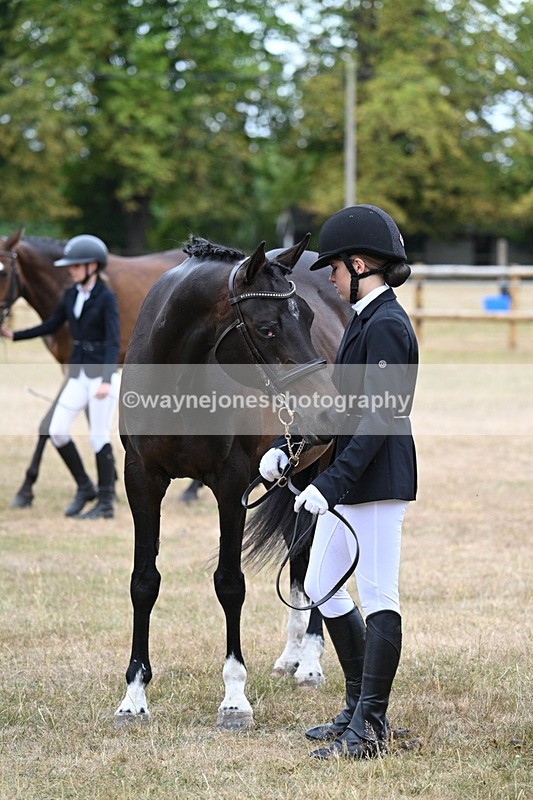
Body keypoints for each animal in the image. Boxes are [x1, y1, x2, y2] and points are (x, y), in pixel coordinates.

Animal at [115, 235, 349, 729]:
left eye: (308, 318)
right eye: (266, 328)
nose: (329, 414)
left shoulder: (230, 486)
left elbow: (229, 584)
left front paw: (234, 698)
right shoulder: (141, 479)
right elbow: (144, 582)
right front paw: (134, 695)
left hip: (319, 471)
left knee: (313, 557)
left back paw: (310, 661)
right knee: (298, 556)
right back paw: (292, 656)